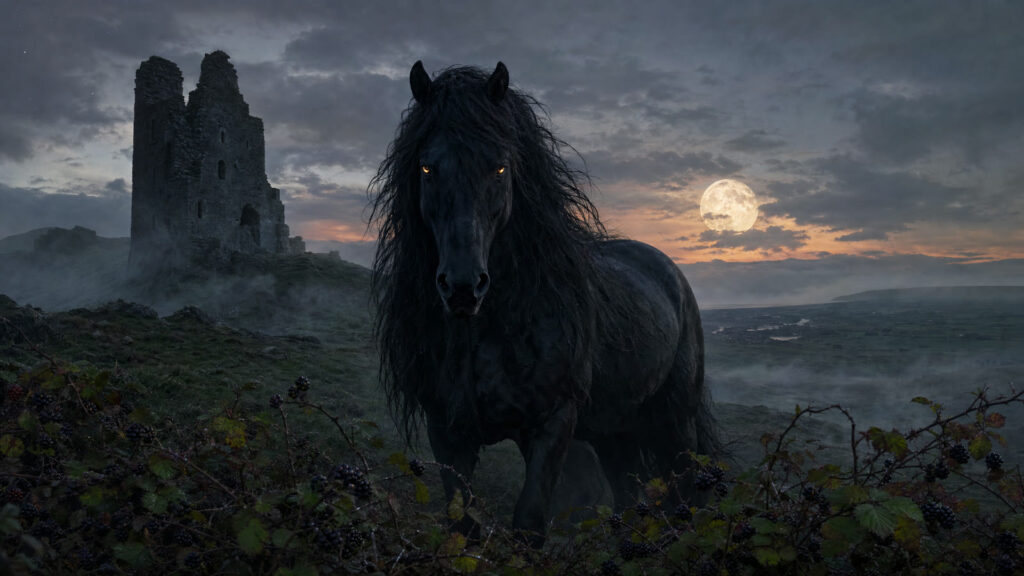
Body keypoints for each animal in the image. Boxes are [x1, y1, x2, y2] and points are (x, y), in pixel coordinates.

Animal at [369, 60, 719, 544]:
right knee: (629, 500)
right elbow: (462, 523)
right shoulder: (448, 431)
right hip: (615, 431)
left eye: (500, 168)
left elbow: (529, 523)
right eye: (426, 167)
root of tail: (672, 274)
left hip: (674, 422)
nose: (462, 287)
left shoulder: (553, 422)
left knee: (685, 492)